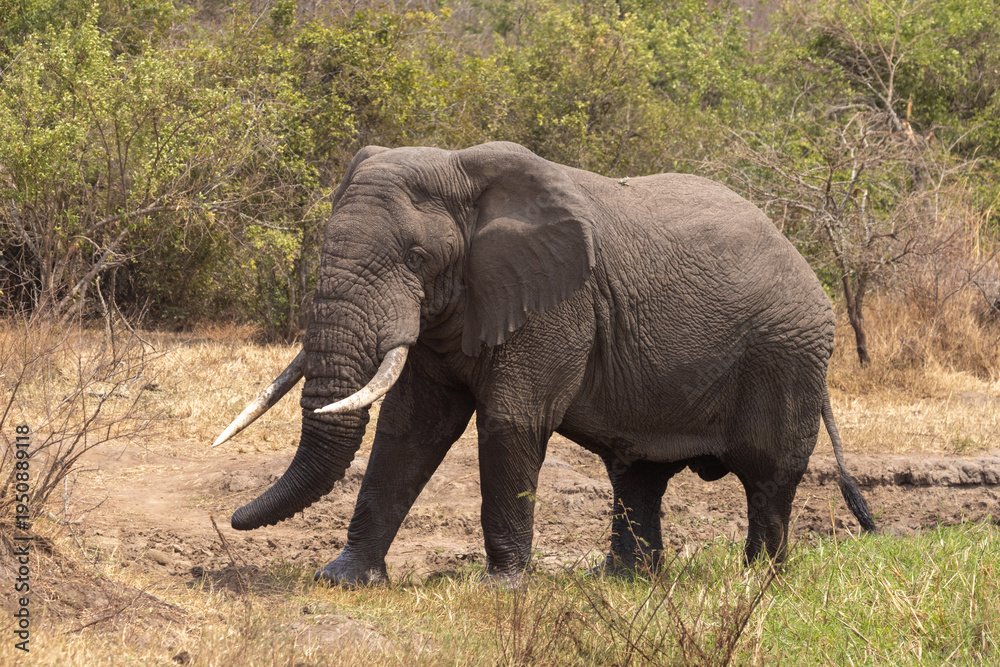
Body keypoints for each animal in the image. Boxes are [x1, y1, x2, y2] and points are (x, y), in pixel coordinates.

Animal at [212, 141, 876, 586]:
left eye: (418, 257)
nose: (231, 520)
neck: (463, 171)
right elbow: (410, 428)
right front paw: (343, 580)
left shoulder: (558, 302)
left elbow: (511, 421)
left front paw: (501, 588)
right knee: (639, 474)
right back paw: (625, 582)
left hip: (788, 354)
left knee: (769, 477)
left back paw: (760, 580)